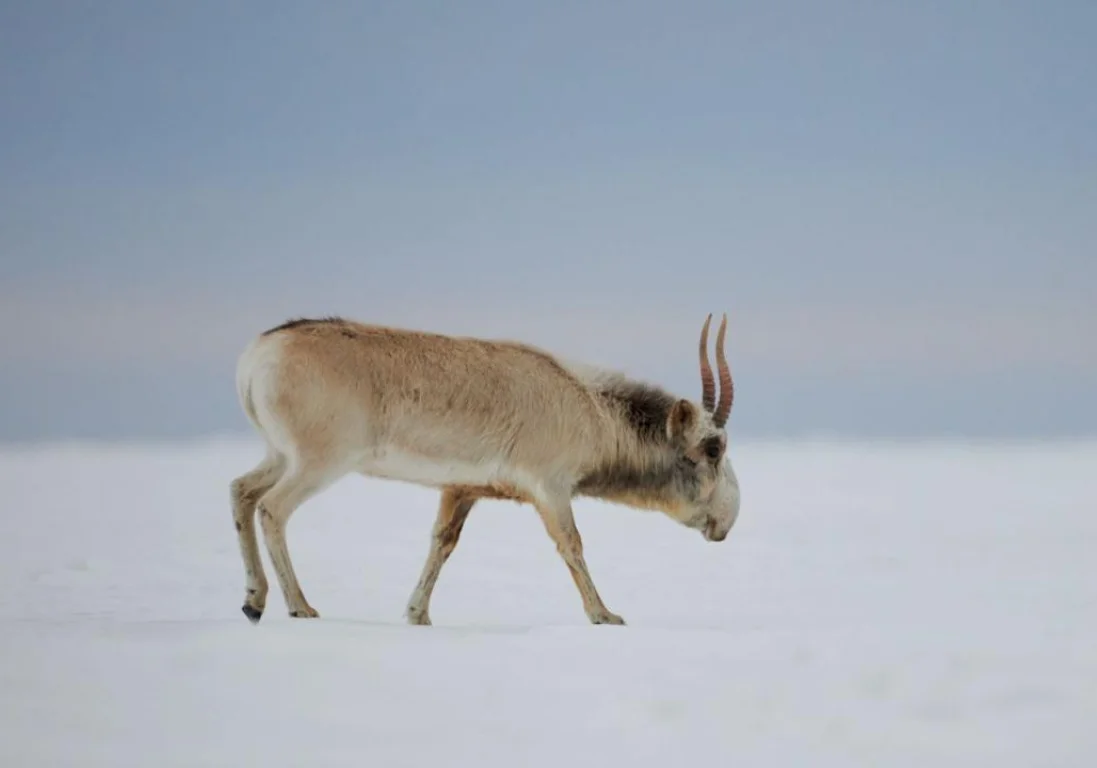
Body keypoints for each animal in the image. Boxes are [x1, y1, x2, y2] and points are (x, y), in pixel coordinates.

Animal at [232, 311, 741, 623]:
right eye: (713, 448)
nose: (726, 521)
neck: (586, 405)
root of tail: (259, 353)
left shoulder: (462, 489)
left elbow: (442, 543)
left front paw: (417, 613)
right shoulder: (550, 487)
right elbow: (572, 545)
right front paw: (604, 614)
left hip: (279, 456)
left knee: (242, 490)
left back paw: (254, 600)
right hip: (318, 462)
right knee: (273, 508)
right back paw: (299, 605)